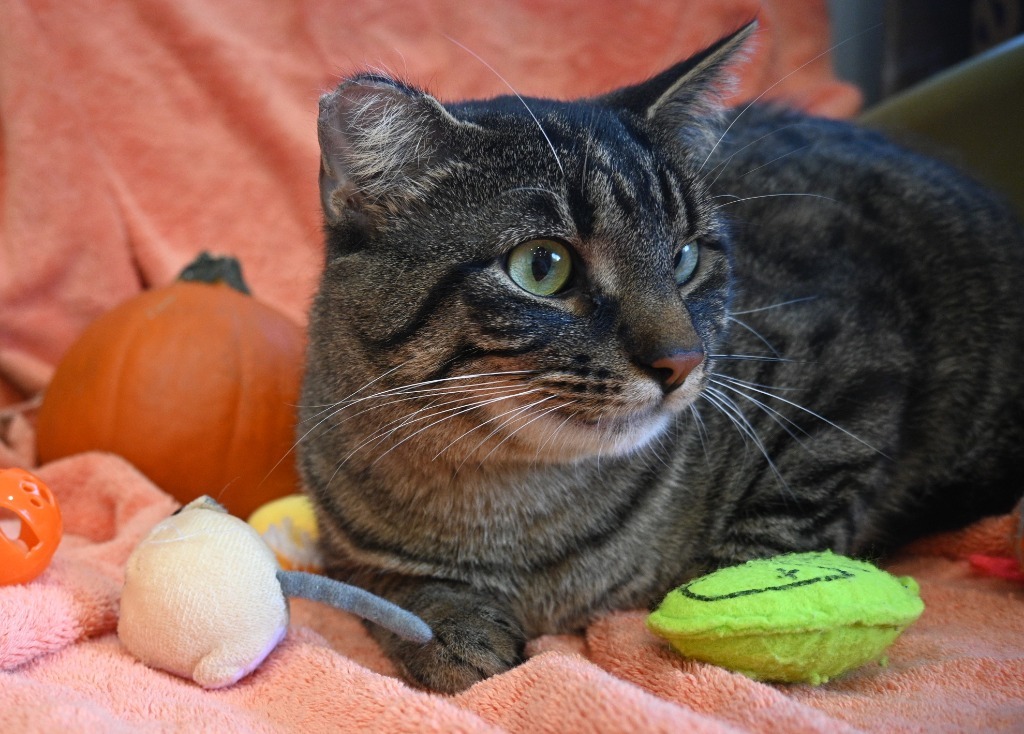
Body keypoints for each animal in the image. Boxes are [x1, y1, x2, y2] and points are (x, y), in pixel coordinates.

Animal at [296, 20, 1024, 692]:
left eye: (686, 258)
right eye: (542, 266)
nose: (684, 361)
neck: (504, 506)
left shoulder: (849, 376)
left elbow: (782, 521)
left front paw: (743, 603)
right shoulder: (340, 545)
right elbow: (381, 587)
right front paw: (448, 628)